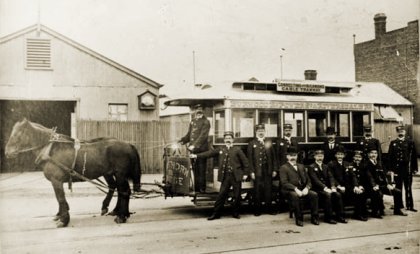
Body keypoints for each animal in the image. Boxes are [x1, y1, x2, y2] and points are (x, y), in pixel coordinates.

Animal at [3, 119, 141, 228]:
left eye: (17, 134)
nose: (7, 152)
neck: (50, 149)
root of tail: (128, 144)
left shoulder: (56, 180)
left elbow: (60, 198)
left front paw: (63, 220)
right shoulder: (57, 182)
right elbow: (60, 199)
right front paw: (60, 215)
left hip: (120, 174)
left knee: (124, 191)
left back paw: (121, 216)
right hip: (110, 173)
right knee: (118, 189)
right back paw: (117, 211)